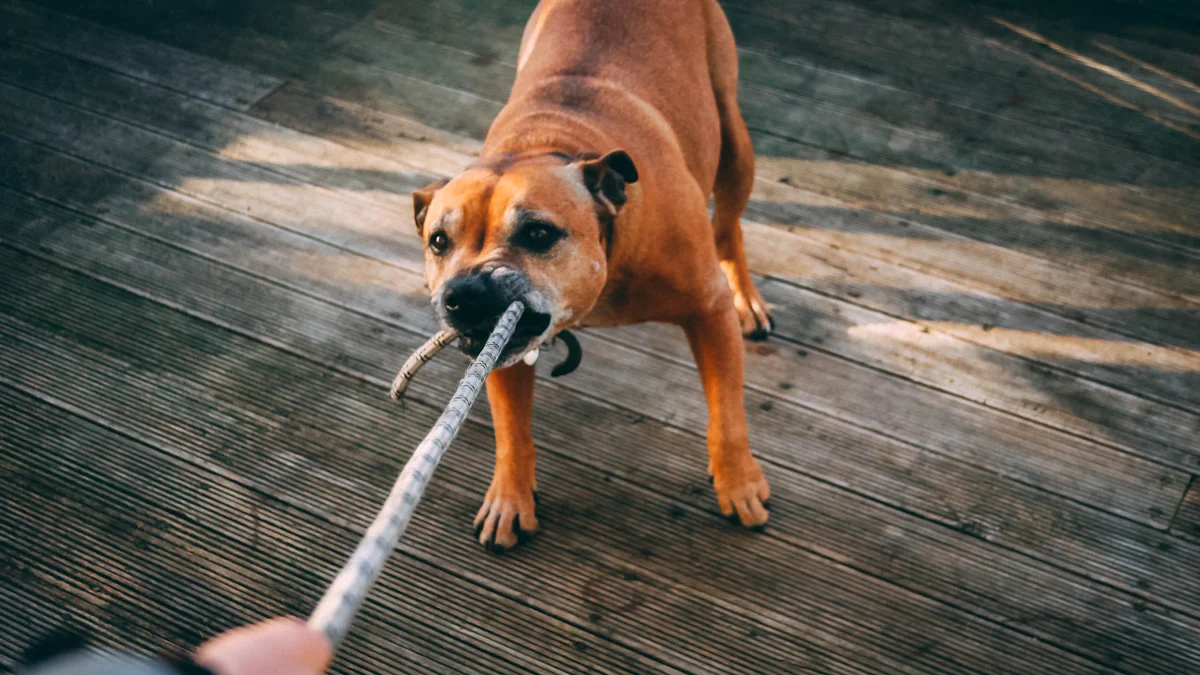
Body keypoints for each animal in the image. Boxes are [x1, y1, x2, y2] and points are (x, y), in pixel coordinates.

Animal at [412, 0, 772, 547]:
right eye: (438, 242)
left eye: (538, 234)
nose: (464, 294)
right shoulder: (504, 350)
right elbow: (511, 429)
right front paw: (509, 498)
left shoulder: (709, 311)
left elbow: (726, 412)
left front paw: (739, 483)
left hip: (734, 141)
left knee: (728, 225)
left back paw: (747, 300)